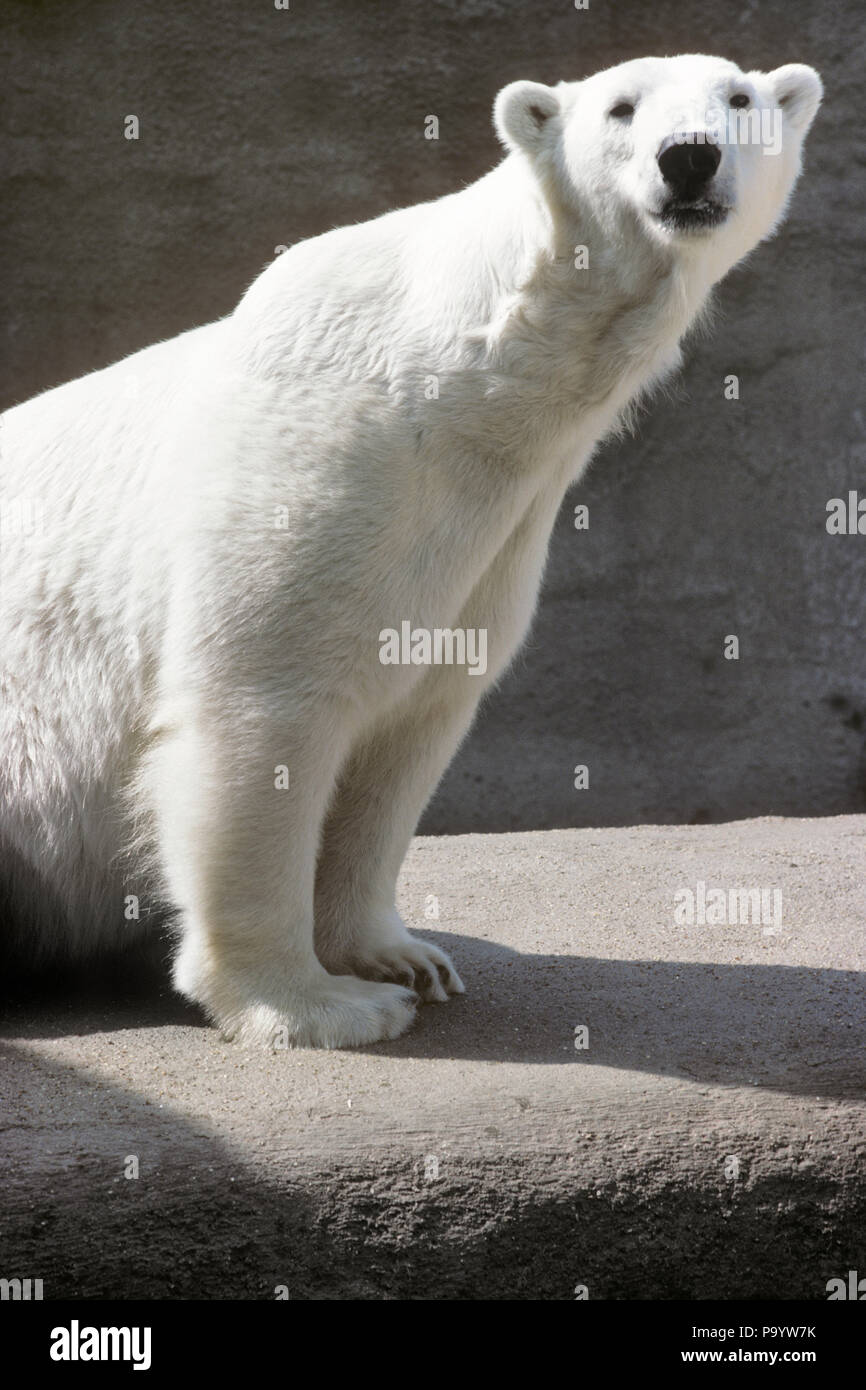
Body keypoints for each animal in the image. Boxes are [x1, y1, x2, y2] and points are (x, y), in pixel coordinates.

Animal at [0, 59, 822, 1045]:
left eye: (739, 99)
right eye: (621, 107)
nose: (689, 157)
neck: (465, 372)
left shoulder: (493, 533)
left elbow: (407, 731)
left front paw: (397, 958)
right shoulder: (317, 464)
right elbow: (263, 707)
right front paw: (318, 1006)